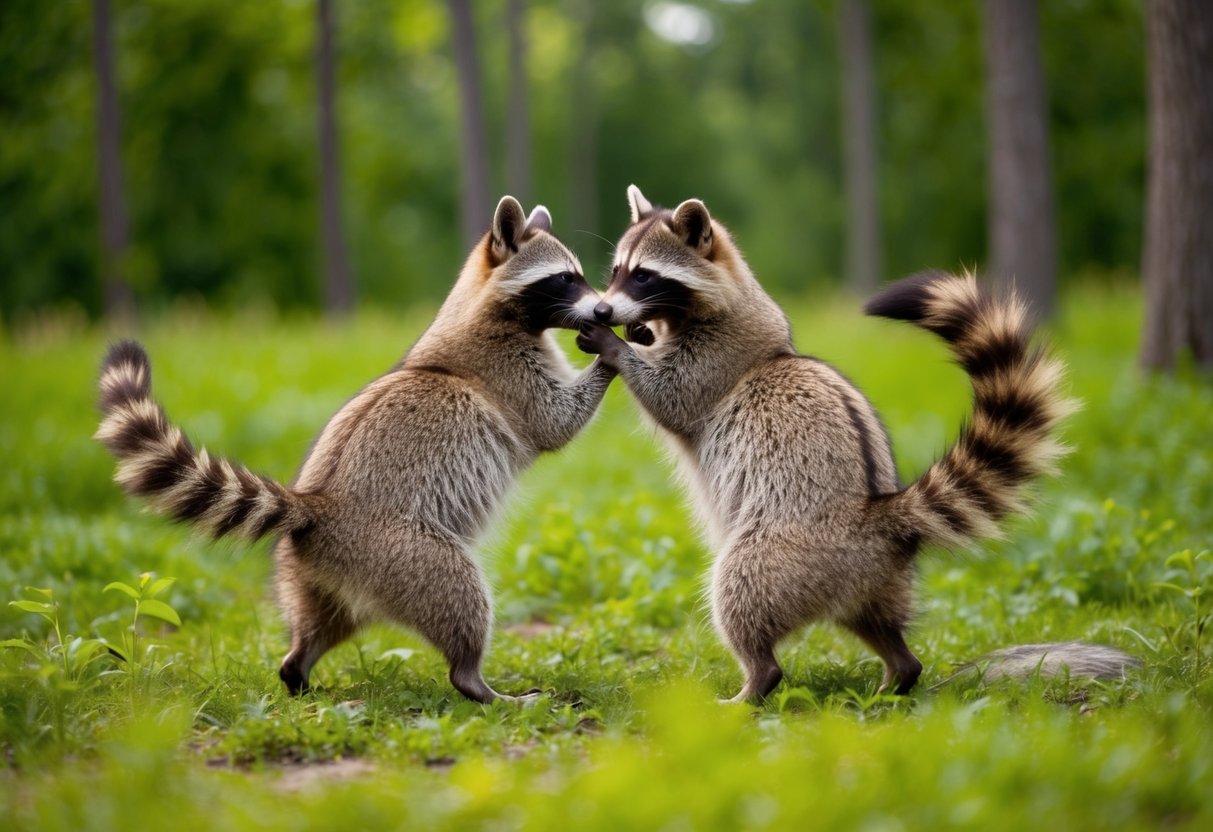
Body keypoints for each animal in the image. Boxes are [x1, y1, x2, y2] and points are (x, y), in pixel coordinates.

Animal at [96, 196, 613, 703]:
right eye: (565, 279)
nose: (605, 311)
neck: (484, 306)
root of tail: (317, 508)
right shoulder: (505, 372)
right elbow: (554, 421)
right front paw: (614, 356)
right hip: (401, 552)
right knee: (459, 594)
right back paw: (475, 680)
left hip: (316, 571)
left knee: (323, 624)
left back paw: (298, 671)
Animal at [577, 185, 1080, 701]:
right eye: (616, 271)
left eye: (644, 276)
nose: (603, 310)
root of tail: (877, 517)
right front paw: (638, 331)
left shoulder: (719, 360)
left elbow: (671, 396)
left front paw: (619, 346)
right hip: (874, 578)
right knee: (878, 625)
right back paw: (898, 672)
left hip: (789, 553)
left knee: (740, 591)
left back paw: (755, 680)